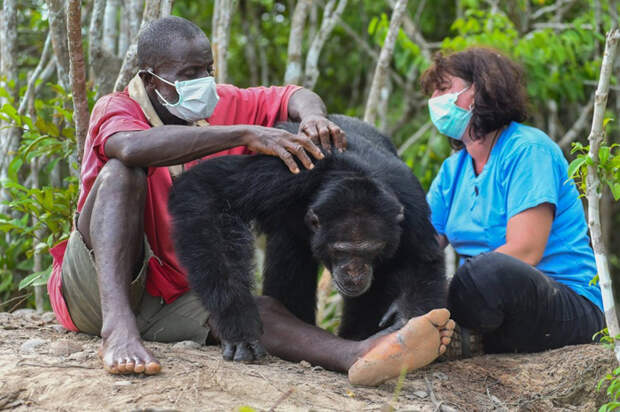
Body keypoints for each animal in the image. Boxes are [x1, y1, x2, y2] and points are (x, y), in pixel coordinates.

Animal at [168, 114, 446, 362]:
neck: (356, 172)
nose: (355, 272)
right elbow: (207, 192)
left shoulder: (409, 200)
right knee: (290, 256)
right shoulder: (285, 172)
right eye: (340, 250)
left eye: (370, 250)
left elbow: (422, 258)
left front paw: (407, 318)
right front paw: (238, 324)